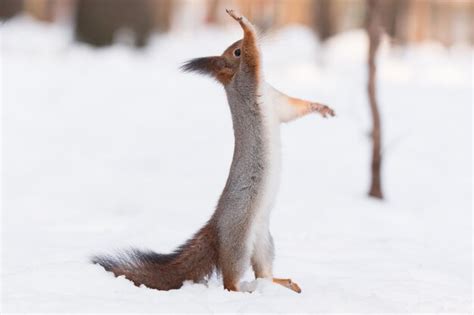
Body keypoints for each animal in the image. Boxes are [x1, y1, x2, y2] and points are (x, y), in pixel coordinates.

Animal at [92, 9, 336, 296]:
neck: (239, 83)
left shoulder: (278, 102)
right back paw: (245, 290)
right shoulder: (248, 80)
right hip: (238, 241)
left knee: (264, 272)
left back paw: (281, 283)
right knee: (231, 281)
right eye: (236, 52)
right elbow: (253, 54)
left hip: (264, 243)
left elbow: (294, 108)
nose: (264, 28)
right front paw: (242, 21)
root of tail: (216, 228)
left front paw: (321, 107)